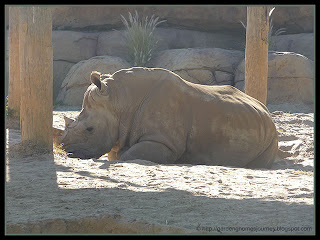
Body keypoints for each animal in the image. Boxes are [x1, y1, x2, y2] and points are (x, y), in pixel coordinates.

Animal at [59, 66, 278, 168]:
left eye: (90, 129)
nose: (67, 152)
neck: (120, 101)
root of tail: (265, 110)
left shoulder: (165, 142)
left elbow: (126, 155)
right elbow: (116, 153)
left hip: (271, 136)